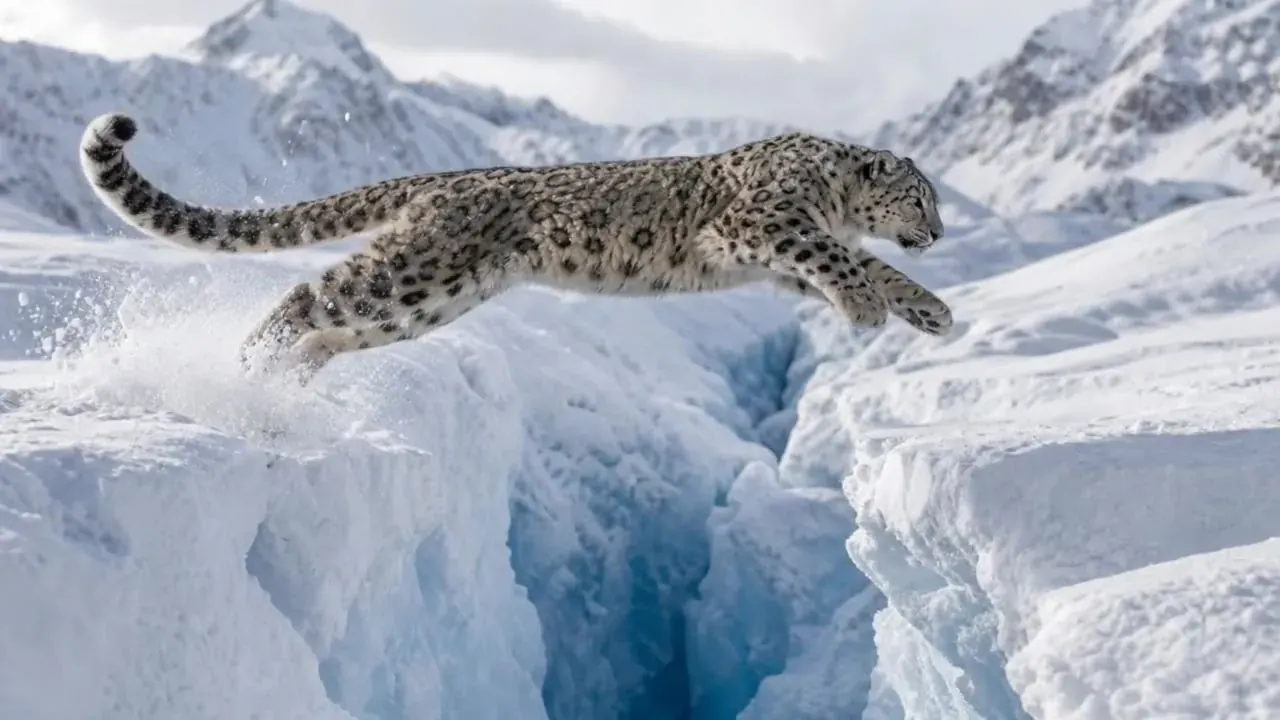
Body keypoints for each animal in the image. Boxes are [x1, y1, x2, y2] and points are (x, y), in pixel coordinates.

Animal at [79, 112, 953, 382]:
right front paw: (869, 305)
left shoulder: (776, 254)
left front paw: (928, 310)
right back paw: (244, 366)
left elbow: (860, 260)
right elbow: (838, 258)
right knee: (308, 294)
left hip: (431, 301)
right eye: (921, 196)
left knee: (335, 332)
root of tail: (439, 180)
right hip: (410, 272)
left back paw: (285, 379)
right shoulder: (760, 225)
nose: (941, 232)